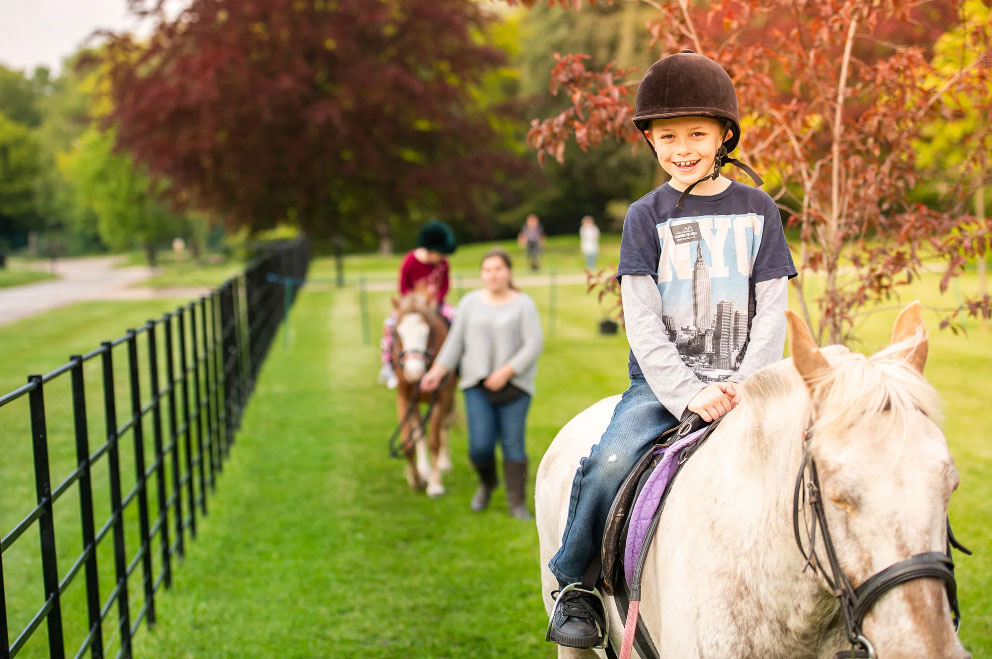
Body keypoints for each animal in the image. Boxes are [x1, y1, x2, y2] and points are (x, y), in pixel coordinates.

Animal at [394, 290, 460, 496]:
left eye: (427, 332)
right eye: (398, 332)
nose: (413, 373)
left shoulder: (441, 397)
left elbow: (435, 441)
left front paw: (435, 484)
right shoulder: (405, 398)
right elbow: (409, 441)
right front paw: (416, 478)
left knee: (445, 424)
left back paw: (443, 463)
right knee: (419, 432)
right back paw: (424, 468)